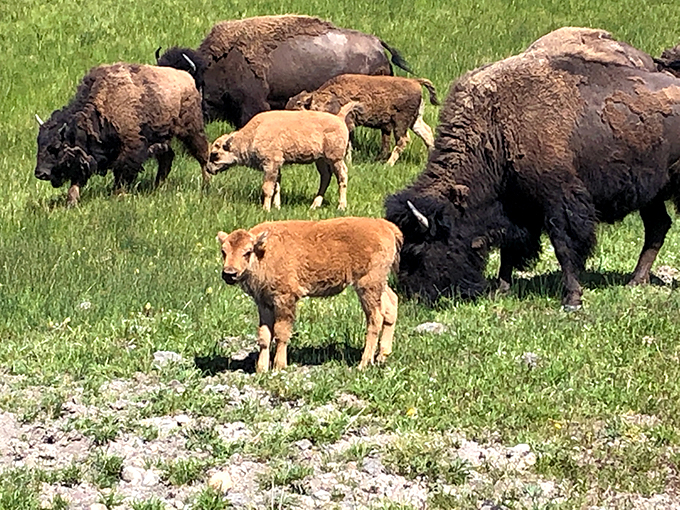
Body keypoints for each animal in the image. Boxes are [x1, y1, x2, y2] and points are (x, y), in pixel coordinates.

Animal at [35, 63, 209, 206]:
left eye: (55, 147)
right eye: (39, 143)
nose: (40, 173)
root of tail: (187, 77)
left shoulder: (130, 149)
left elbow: (122, 172)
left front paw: (117, 194)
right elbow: (77, 177)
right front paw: (71, 201)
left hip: (191, 131)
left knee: (203, 155)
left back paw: (206, 184)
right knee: (167, 158)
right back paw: (158, 186)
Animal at [385, 27, 680, 310]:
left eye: (417, 251)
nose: (413, 296)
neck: (495, 126)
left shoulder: (558, 201)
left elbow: (564, 247)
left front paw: (572, 299)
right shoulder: (516, 207)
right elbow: (510, 247)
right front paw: (501, 289)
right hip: (652, 194)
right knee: (658, 226)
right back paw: (635, 281)